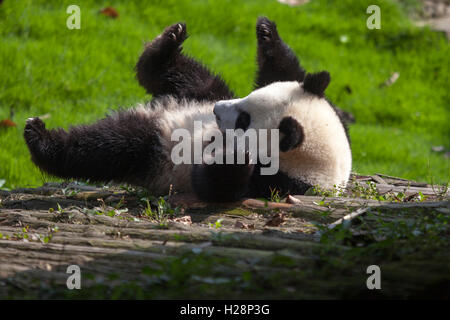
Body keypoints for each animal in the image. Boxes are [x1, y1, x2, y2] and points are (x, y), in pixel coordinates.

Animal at [22, 17, 352, 201]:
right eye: (249, 97)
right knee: (174, 73)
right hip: (198, 92)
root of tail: (158, 112)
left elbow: (214, 186)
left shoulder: (275, 183)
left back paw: (40, 137)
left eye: (244, 121)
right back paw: (168, 42)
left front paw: (233, 159)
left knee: (106, 147)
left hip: (156, 153)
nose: (217, 110)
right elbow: (284, 71)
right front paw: (267, 32)